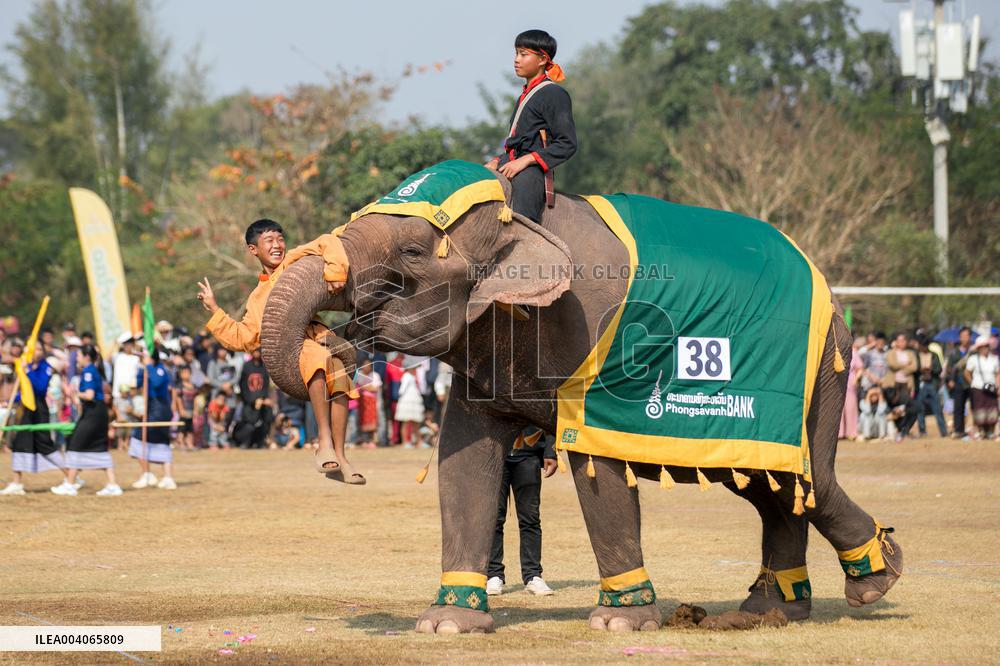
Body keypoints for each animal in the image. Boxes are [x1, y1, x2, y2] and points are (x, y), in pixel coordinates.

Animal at [260, 166, 903, 634]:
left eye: (414, 254)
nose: (333, 345)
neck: (519, 217)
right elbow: (464, 459)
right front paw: (446, 623)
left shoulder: (595, 341)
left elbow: (600, 467)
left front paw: (619, 623)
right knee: (775, 490)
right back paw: (771, 611)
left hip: (822, 370)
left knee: (806, 479)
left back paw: (876, 578)